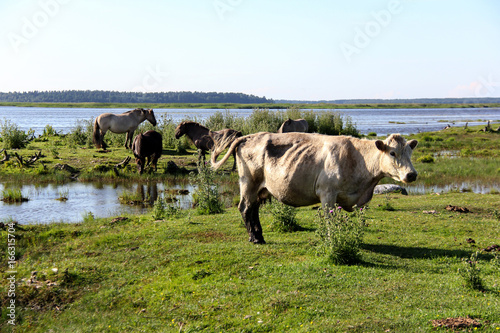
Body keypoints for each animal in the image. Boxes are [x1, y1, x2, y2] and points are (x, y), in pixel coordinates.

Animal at [212, 132, 418, 244]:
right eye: (393, 153)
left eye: (409, 152)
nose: (412, 174)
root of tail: (250, 136)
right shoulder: (327, 193)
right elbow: (329, 218)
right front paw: (330, 238)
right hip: (248, 183)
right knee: (245, 208)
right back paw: (255, 239)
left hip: (260, 189)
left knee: (253, 210)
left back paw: (258, 236)